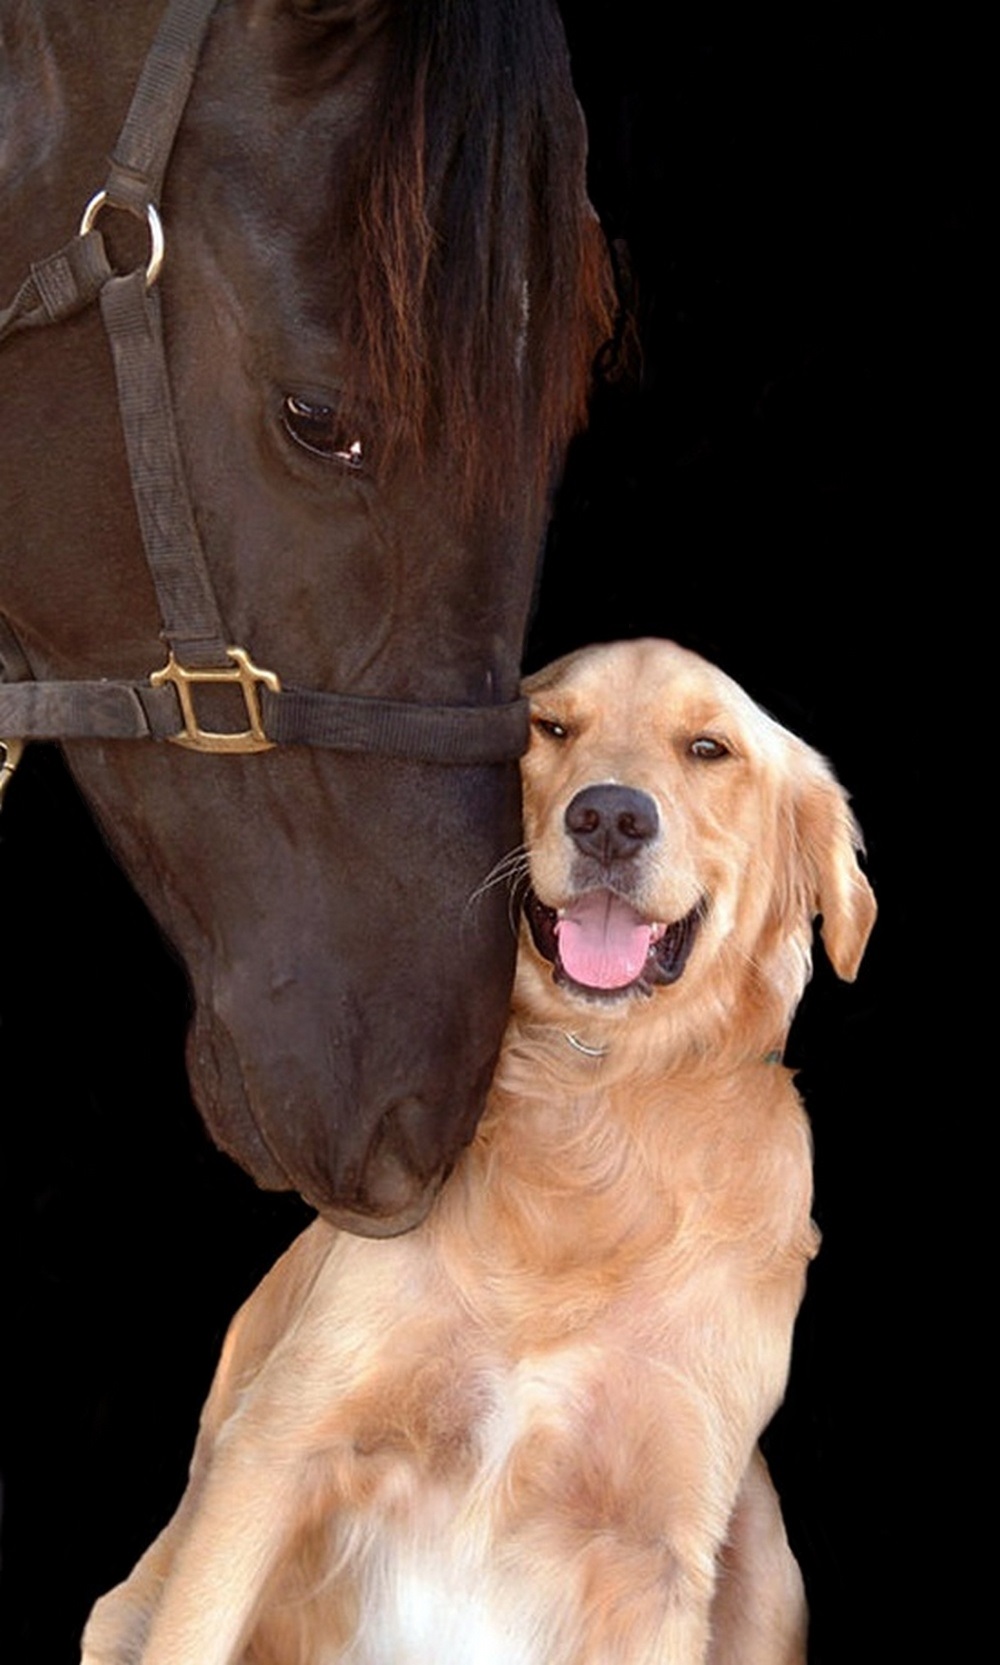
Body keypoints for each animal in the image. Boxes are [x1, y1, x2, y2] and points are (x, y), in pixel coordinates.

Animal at [81, 639, 871, 1665]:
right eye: (548, 727)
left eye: (709, 747)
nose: (609, 817)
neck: (593, 1099)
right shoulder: (281, 1439)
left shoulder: (658, 1557)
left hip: (768, 1555)